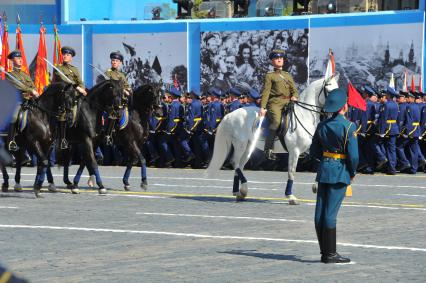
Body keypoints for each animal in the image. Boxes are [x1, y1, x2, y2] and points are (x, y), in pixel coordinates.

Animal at [206, 74, 340, 204]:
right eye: (329, 90)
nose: (340, 109)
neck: (304, 115)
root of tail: (230, 115)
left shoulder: (312, 150)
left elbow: (321, 164)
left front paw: (316, 186)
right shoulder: (294, 151)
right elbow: (292, 172)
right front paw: (290, 196)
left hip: (248, 148)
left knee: (240, 165)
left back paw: (239, 193)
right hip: (240, 145)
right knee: (235, 162)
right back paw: (243, 190)